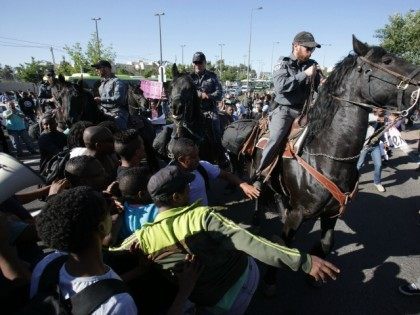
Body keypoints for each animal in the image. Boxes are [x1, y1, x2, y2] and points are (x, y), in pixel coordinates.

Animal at [231, 36, 418, 262]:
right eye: (388, 61)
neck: (328, 157)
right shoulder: (297, 216)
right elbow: (286, 247)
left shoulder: (331, 214)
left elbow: (327, 244)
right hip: (257, 171)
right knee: (259, 192)